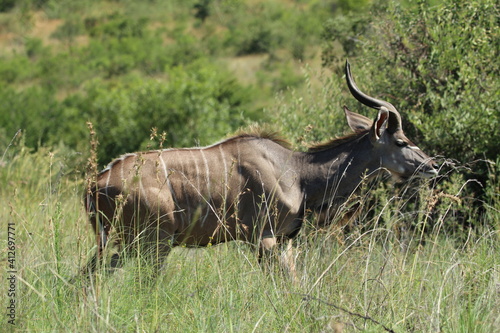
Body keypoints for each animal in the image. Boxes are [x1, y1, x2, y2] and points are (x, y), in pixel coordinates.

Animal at [82, 61, 438, 278]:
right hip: (153, 243)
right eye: (402, 141)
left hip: (120, 245)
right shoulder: (265, 239)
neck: (297, 172)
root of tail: (96, 183)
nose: (433, 165)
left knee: (86, 279)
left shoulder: (284, 241)